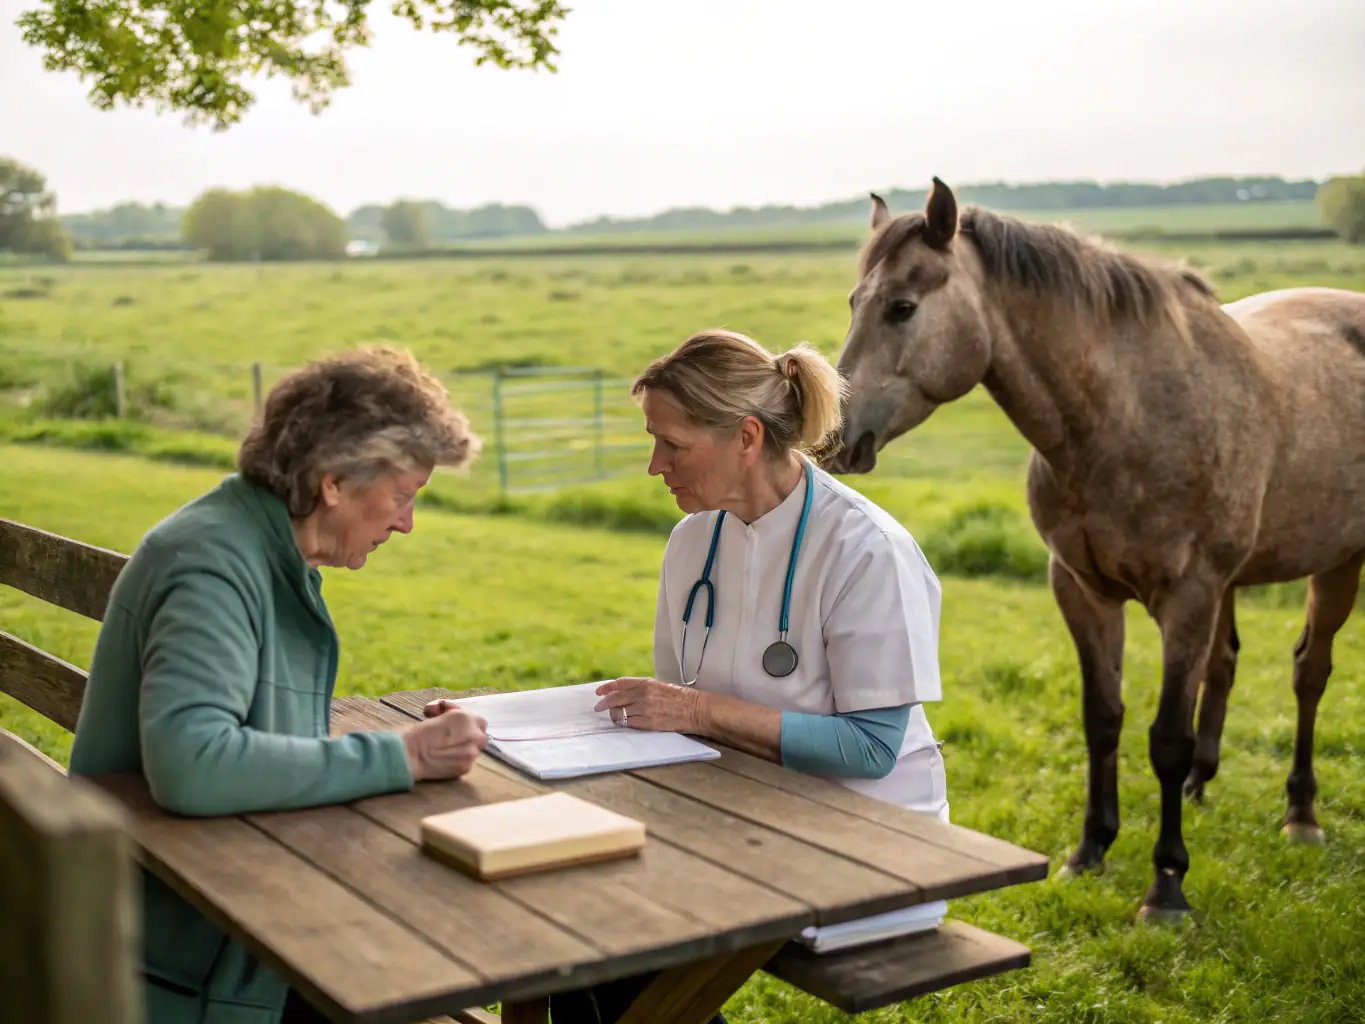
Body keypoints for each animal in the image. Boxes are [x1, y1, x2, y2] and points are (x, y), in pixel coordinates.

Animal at [822, 177, 1365, 922]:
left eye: (902, 307)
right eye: (853, 302)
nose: (833, 434)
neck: (1127, 418)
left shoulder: (1187, 596)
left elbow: (1166, 737)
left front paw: (1166, 886)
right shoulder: (1081, 588)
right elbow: (1102, 719)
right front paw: (1090, 850)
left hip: (1338, 564)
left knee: (1309, 674)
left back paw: (1301, 815)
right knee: (1225, 665)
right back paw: (1202, 786)